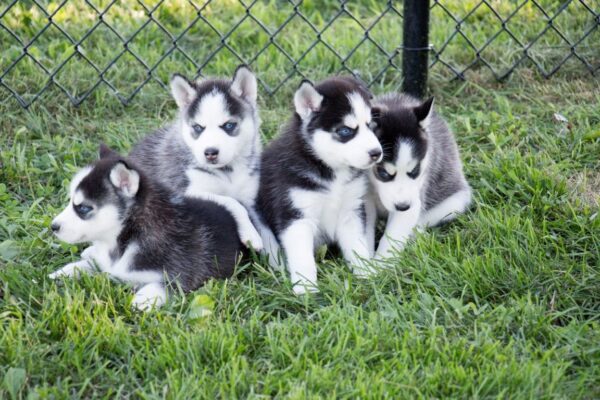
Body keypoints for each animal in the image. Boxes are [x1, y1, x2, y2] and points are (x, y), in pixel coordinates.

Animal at [48, 145, 243, 310]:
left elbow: (165, 285)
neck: (130, 237)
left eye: (83, 208)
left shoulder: (183, 273)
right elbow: (89, 265)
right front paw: (63, 272)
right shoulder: (108, 264)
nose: (53, 227)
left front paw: (141, 300)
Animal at [129, 66, 262, 250]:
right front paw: (251, 234)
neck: (228, 172)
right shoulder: (187, 192)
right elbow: (232, 202)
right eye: (198, 128)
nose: (210, 152)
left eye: (229, 125)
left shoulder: (250, 198)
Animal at [255, 76, 382, 294]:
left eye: (370, 125)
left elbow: (357, 247)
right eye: (345, 131)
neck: (331, 172)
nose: (377, 153)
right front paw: (306, 290)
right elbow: (303, 259)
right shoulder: (296, 216)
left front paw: (367, 274)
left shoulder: (351, 211)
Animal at [368, 92, 472, 258]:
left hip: (456, 200)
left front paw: (380, 263)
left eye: (415, 171)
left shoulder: (415, 196)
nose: (403, 206)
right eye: (383, 172)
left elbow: (393, 237)